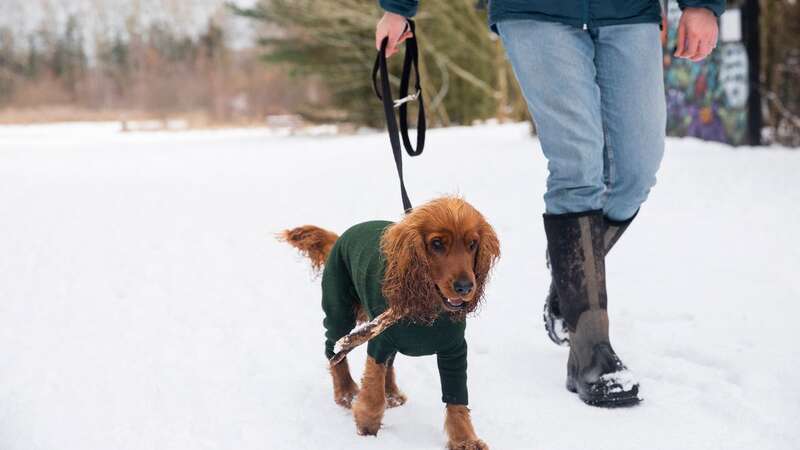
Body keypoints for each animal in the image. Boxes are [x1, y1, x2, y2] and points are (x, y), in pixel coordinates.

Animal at [278, 197, 496, 450]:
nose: (465, 287)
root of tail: (342, 236)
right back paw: (346, 392)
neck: (428, 309)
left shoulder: (454, 351)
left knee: (388, 364)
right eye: (437, 244)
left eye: (472, 244)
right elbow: (373, 388)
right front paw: (367, 426)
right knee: (334, 351)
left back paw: (391, 394)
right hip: (338, 311)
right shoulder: (380, 342)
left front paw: (465, 439)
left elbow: (457, 398)